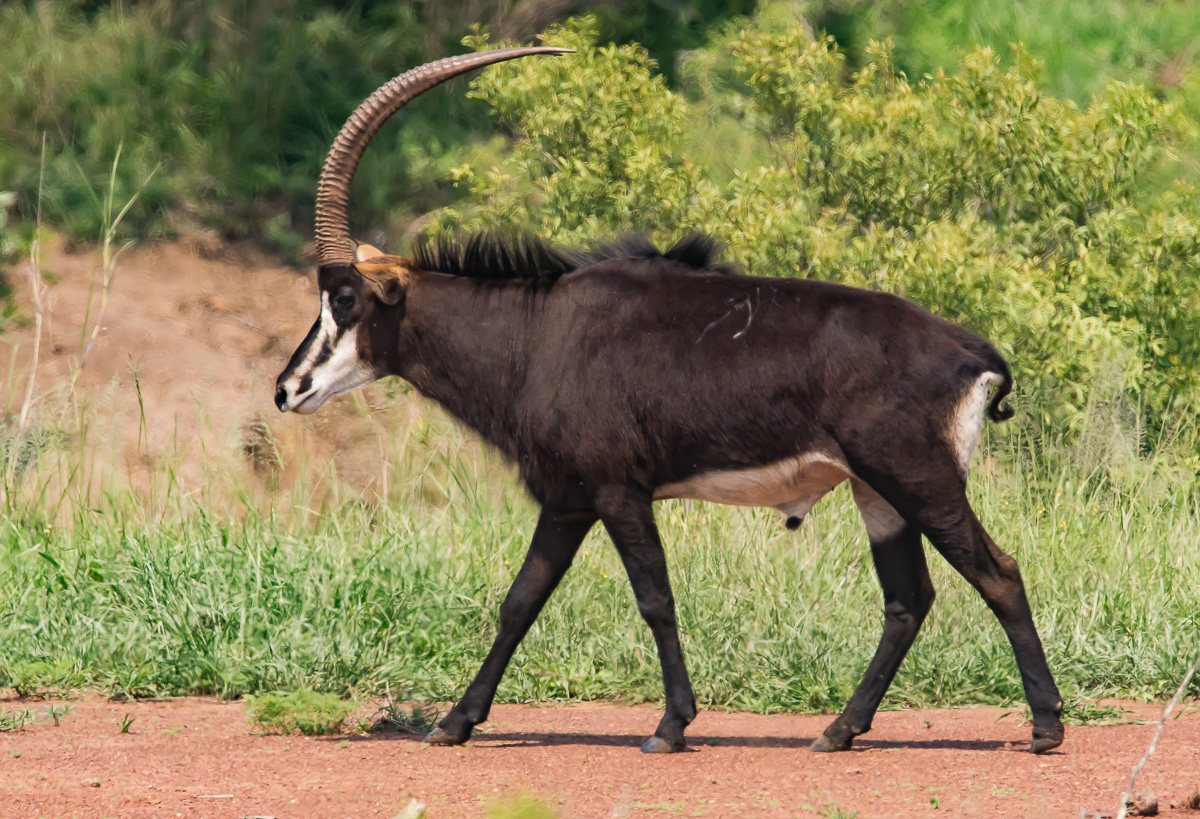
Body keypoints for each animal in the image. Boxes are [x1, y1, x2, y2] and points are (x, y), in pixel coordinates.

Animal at [274, 47, 1065, 755]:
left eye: (344, 297)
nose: (287, 389)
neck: (536, 332)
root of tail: (969, 348)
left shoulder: (618, 491)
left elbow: (654, 598)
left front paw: (671, 726)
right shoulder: (568, 500)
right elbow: (520, 601)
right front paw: (454, 722)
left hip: (918, 478)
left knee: (998, 572)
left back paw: (1045, 727)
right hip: (878, 492)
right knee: (907, 601)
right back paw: (839, 731)